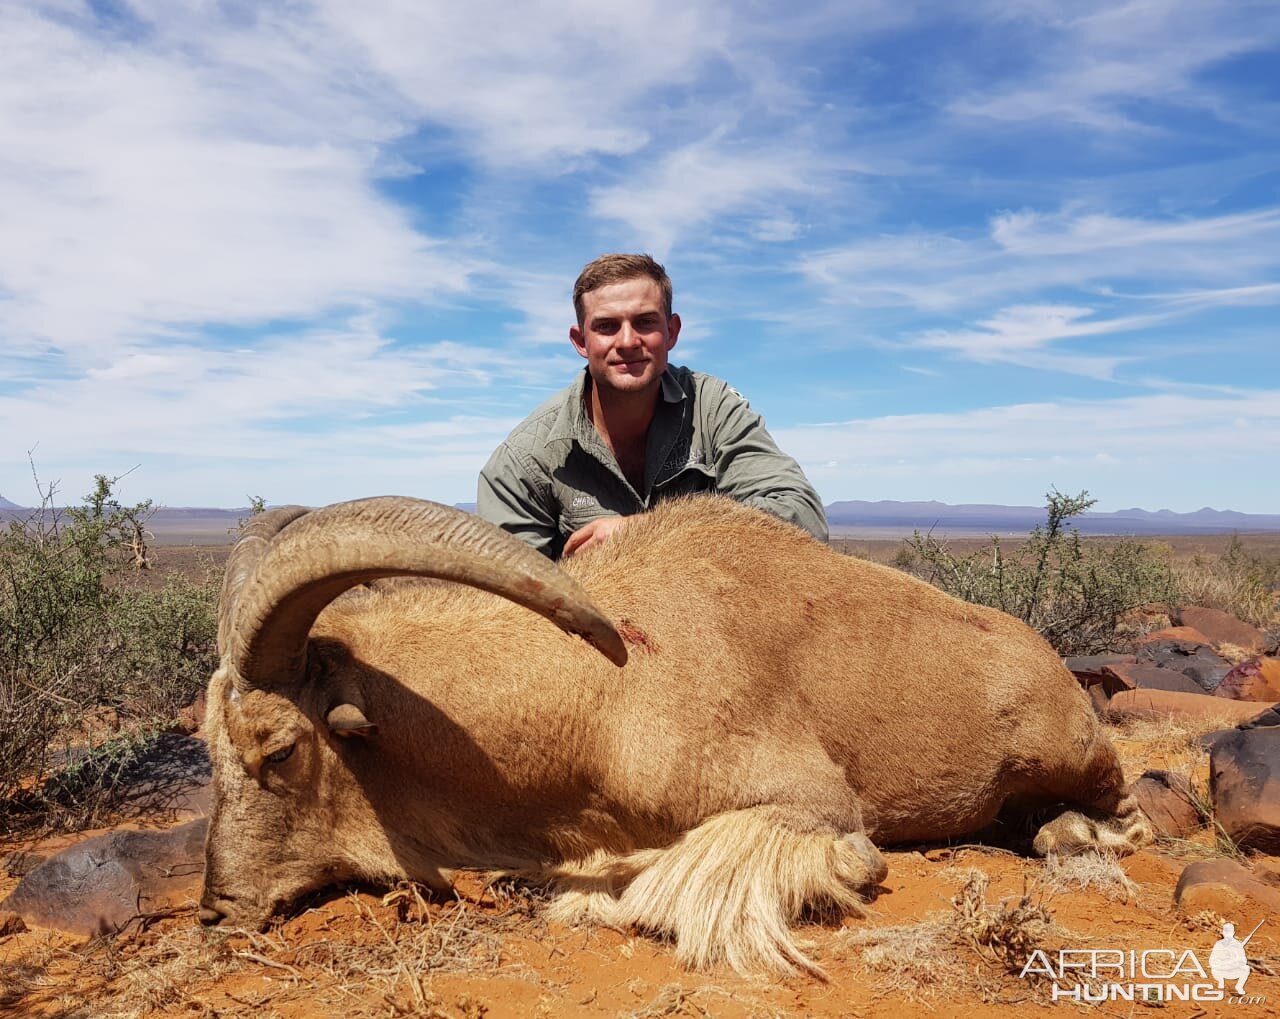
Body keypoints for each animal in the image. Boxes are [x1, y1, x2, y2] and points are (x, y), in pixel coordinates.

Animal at [197, 496, 1152, 972]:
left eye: (279, 748)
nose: (217, 908)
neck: (600, 692)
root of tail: (1050, 659)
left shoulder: (807, 802)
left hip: (1070, 751)